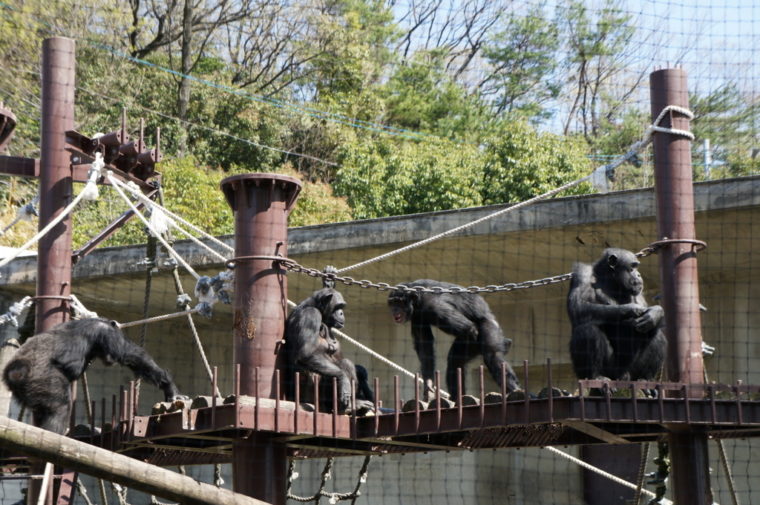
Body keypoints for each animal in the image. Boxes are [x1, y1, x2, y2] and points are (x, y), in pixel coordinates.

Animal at [3, 316, 185, 432]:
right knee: (59, 406)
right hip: (41, 377)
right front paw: (169, 387)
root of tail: (13, 371)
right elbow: (131, 355)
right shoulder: (107, 334)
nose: (110, 360)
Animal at [388, 278, 520, 400]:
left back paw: (514, 388)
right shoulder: (417, 317)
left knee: (492, 355)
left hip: (488, 324)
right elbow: (424, 345)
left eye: (399, 302)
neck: (417, 302)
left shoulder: (435, 307)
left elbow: (468, 328)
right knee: (455, 362)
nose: (394, 309)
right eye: (393, 303)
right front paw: (428, 385)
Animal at [568, 248, 668, 382]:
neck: (611, 279)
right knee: (587, 329)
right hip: (611, 370)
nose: (639, 274)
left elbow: (645, 307)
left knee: (657, 334)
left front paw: (655, 312)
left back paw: (645, 379)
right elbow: (577, 305)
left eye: (636, 267)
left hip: (631, 370)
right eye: (632, 267)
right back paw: (595, 376)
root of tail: (622, 376)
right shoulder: (582, 273)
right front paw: (632, 309)